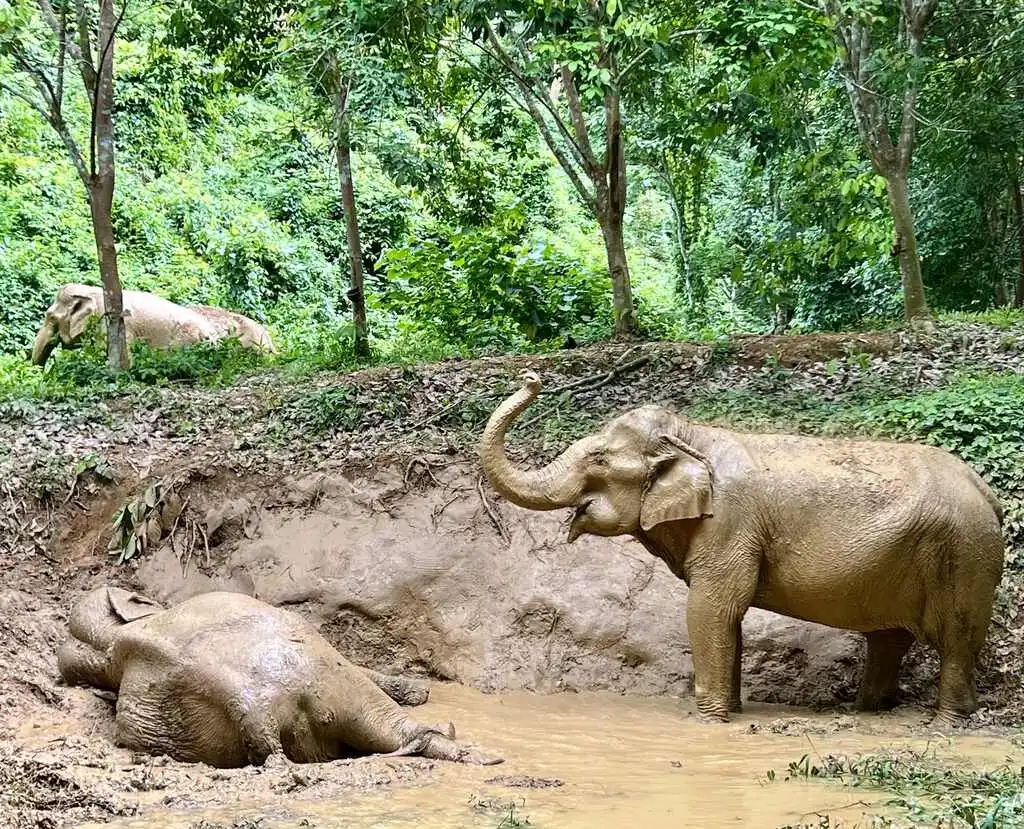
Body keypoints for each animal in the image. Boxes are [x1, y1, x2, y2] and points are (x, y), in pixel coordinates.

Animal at [479, 370, 1007, 720]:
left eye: (600, 460)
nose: (531, 375)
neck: (691, 433)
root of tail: (987, 491)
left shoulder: (729, 522)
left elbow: (712, 608)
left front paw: (710, 720)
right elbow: (727, 616)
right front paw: (729, 711)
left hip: (965, 555)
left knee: (957, 639)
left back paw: (945, 721)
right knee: (890, 638)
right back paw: (872, 712)